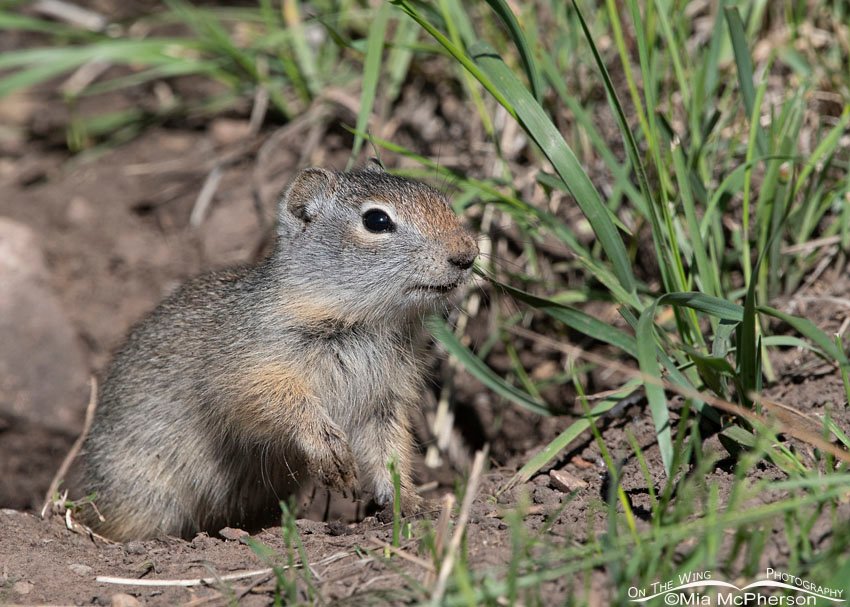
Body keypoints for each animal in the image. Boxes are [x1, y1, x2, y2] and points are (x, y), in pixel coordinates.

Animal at [80, 162, 478, 541]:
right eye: (376, 220)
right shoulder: (253, 368)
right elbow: (281, 404)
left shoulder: (385, 402)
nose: (468, 254)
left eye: (440, 199)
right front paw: (331, 452)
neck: (364, 320)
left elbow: (389, 452)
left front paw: (409, 502)